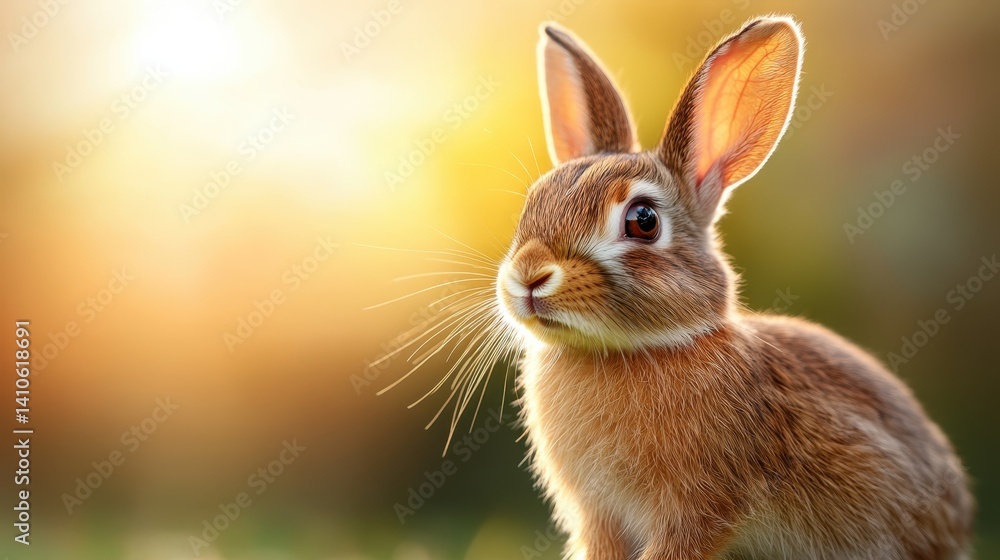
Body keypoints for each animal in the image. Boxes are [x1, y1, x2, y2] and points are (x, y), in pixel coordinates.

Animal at [494, 15, 974, 560]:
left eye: (643, 221)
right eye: (535, 199)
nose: (529, 275)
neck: (625, 351)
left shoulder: (695, 512)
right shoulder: (600, 517)